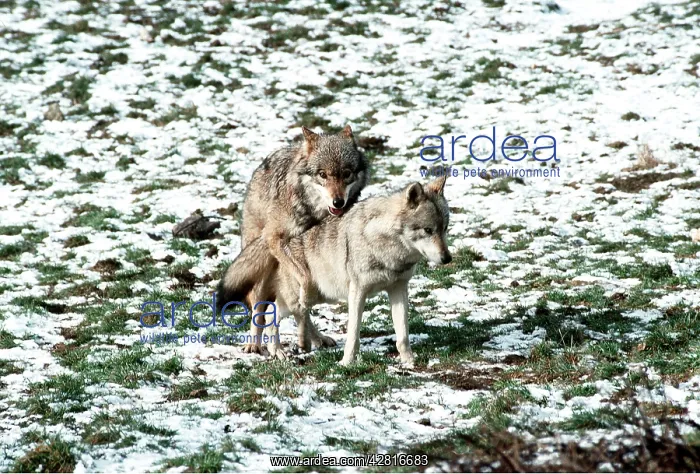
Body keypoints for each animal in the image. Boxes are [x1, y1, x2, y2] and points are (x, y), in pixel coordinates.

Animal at [217, 125, 369, 353]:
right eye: (322, 174)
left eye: (346, 174)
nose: (338, 202)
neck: (313, 212)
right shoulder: (275, 240)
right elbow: (304, 280)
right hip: (264, 264)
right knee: (259, 306)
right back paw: (254, 344)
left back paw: (314, 338)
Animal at [247, 175, 452, 366]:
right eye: (428, 230)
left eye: (444, 228)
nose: (447, 258)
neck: (387, 249)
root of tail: (276, 239)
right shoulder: (357, 292)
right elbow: (353, 334)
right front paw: (346, 362)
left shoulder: (399, 288)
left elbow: (403, 335)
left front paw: (409, 361)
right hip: (298, 300)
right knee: (269, 314)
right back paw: (277, 350)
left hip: (318, 297)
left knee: (295, 315)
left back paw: (308, 343)